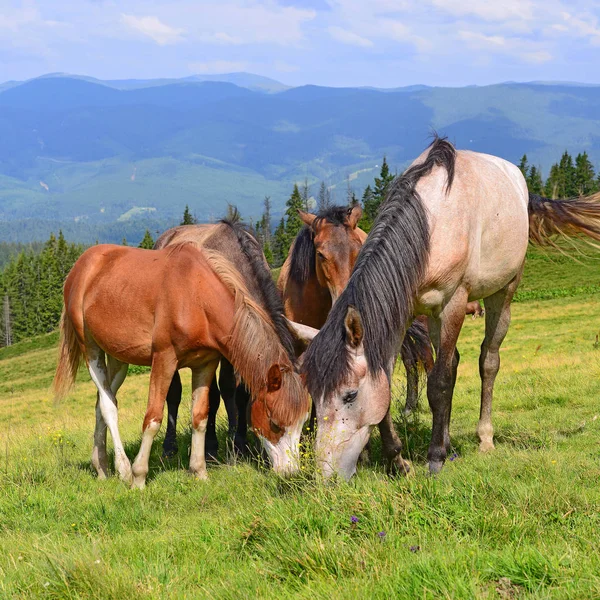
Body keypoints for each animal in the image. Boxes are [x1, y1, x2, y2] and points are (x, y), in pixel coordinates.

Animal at [52, 225, 310, 488]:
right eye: (274, 423)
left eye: (303, 422)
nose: (291, 473)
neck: (196, 298)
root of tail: (82, 265)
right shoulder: (164, 360)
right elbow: (153, 419)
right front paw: (139, 477)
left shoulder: (205, 363)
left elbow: (200, 416)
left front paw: (199, 470)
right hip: (90, 348)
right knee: (108, 406)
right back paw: (123, 468)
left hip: (118, 358)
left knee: (102, 401)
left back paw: (102, 466)